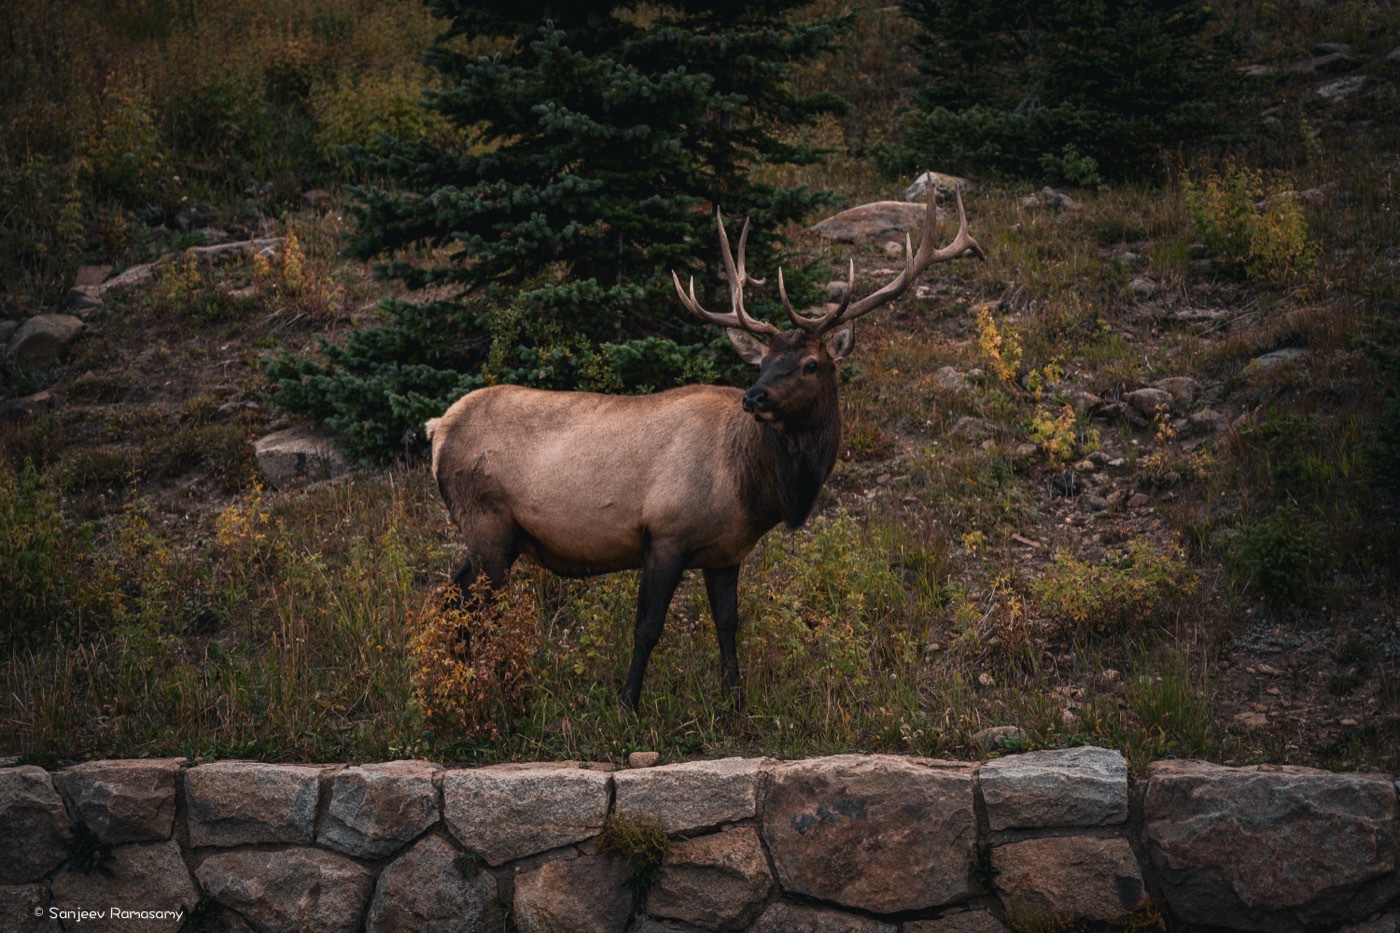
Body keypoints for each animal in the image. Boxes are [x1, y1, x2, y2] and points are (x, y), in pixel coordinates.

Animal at [425, 190, 984, 711]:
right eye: (762, 362)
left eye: (809, 364)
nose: (753, 397)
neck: (755, 489)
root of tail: (439, 428)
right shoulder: (665, 533)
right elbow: (648, 627)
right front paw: (627, 703)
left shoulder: (725, 552)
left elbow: (728, 624)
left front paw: (735, 700)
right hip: (487, 525)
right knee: (470, 609)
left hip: (495, 536)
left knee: (451, 600)